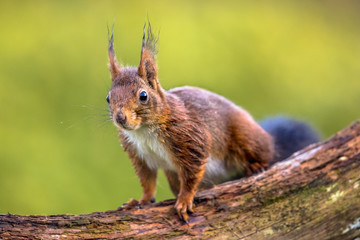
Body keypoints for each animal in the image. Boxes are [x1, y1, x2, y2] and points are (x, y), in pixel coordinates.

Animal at [105, 23, 320, 223]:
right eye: (108, 98)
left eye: (143, 96)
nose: (120, 118)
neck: (143, 131)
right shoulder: (138, 154)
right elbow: (147, 181)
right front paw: (141, 201)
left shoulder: (190, 137)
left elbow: (192, 173)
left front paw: (184, 200)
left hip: (246, 137)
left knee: (266, 153)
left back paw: (256, 165)